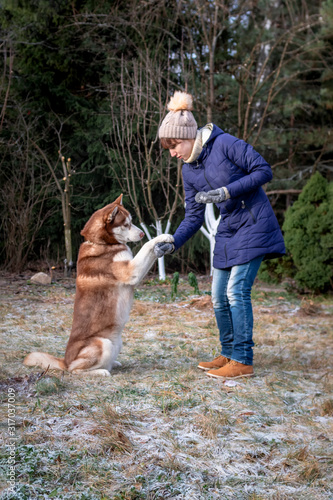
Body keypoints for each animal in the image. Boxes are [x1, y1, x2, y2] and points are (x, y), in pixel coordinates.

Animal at [23, 194, 172, 376]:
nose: (143, 233)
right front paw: (162, 237)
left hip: (117, 343)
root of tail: (65, 361)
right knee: (75, 370)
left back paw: (113, 364)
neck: (102, 243)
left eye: (132, 221)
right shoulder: (131, 270)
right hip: (102, 343)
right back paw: (101, 372)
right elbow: (146, 246)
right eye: (126, 224)